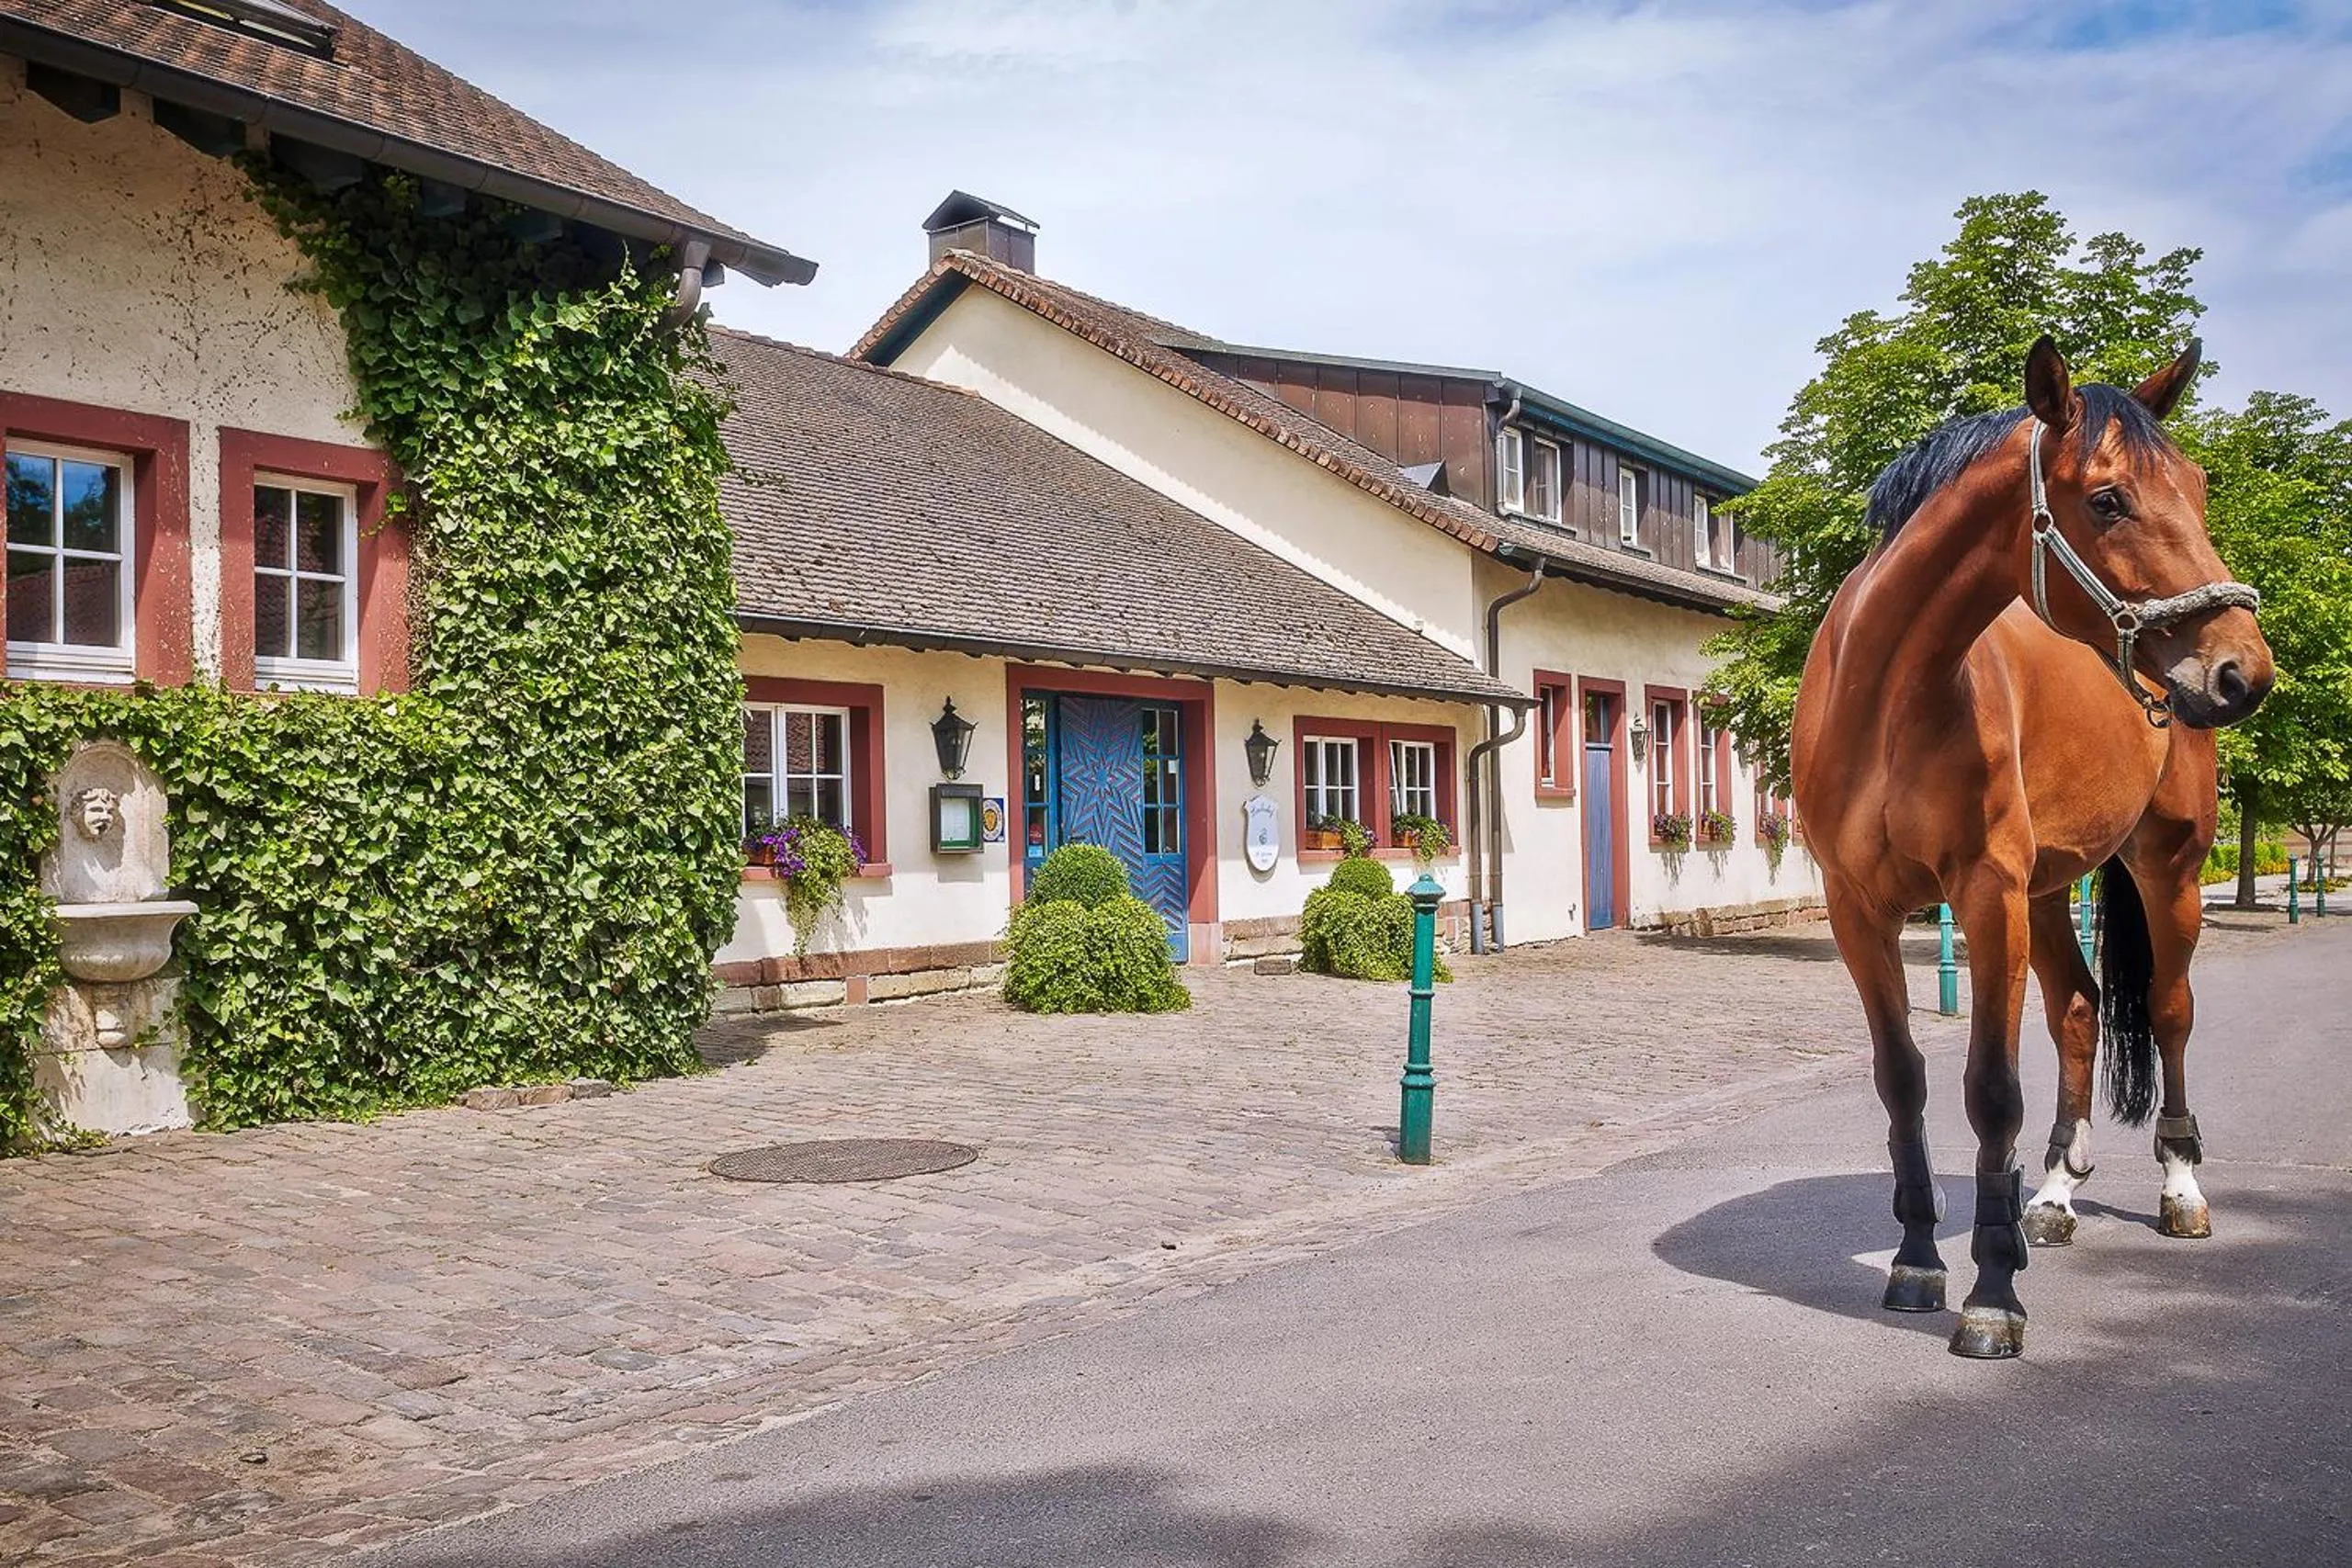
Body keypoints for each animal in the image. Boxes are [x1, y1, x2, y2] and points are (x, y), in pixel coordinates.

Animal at [1792, 336, 2274, 1359]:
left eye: (2200, 487)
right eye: (2108, 499)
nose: (2242, 672)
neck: (1888, 698)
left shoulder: (1986, 896)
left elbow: (1990, 1091)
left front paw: (1991, 1295)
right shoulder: (1857, 910)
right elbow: (1904, 1082)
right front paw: (1919, 1262)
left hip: (2166, 868)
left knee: (2168, 1012)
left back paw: (2180, 1189)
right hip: (2051, 892)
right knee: (2082, 1012)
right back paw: (2050, 1196)